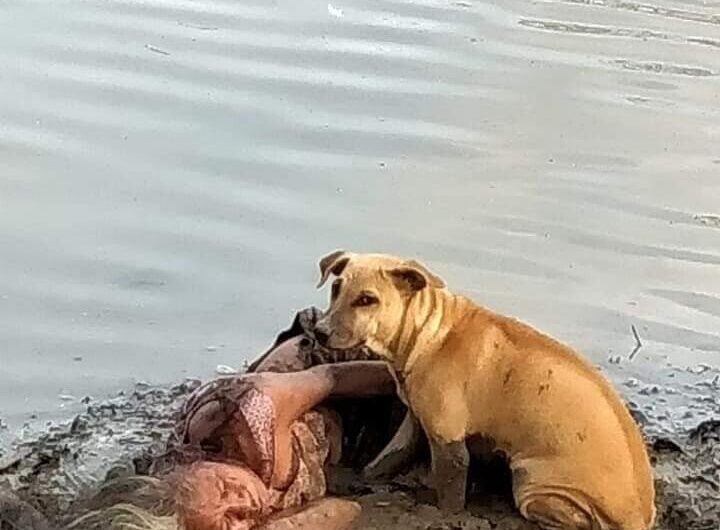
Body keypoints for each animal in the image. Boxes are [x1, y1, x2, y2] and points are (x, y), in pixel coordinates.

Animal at [312, 249, 656, 528]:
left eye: (367, 300)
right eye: (335, 288)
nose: (319, 332)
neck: (430, 333)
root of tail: (639, 519)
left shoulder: (449, 443)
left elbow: (450, 496)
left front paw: (442, 513)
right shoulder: (415, 422)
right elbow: (386, 460)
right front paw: (363, 478)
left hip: (533, 484)